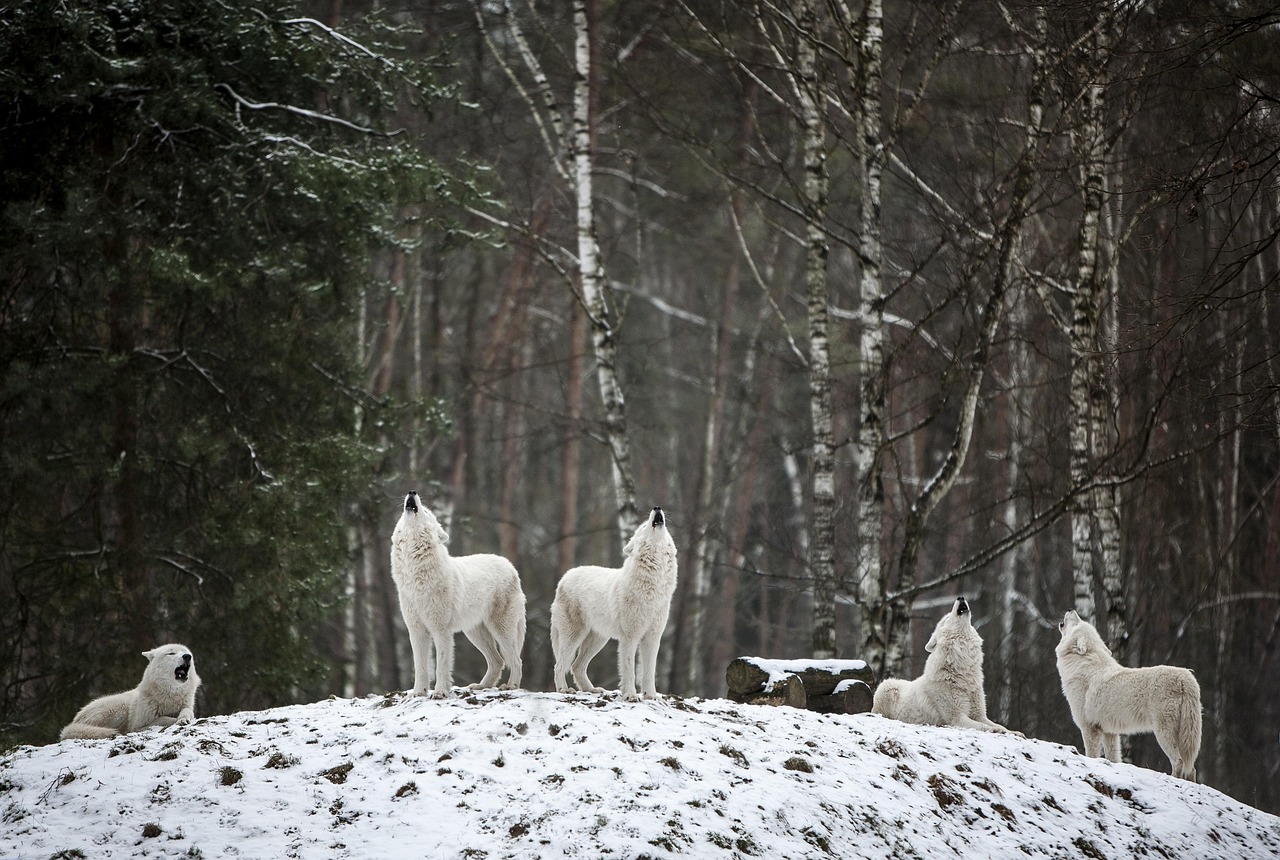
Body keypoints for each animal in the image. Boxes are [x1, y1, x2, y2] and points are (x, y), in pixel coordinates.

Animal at [60, 645, 200, 740]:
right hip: (118, 709)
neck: (170, 696)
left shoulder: (186, 706)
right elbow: (163, 719)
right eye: (171, 653)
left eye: (187, 653)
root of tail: (74, 721)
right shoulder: (137, 726)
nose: (187, 656)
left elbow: (187, 711)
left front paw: (183, 719)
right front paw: (174, 719)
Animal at [390, 491, 526, 698]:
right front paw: (418, 692)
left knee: (516, 660)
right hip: (474, 633)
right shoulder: (416, 630)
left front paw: (440, 692)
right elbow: (420, 666)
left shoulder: (441, 630)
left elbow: (441, 664)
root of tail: (510, 566)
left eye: (427, 512)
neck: (415, 576)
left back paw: (511, 686)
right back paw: (481, 686)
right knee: (498, 661)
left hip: (500, 629)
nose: (412, 492)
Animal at [551, 507, 678, 701]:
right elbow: (629, 670)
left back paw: (592, 690)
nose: (657, 508)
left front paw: (651, 696)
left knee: (576, 666)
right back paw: (564, 690)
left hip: (598, 640)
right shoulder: (629, 637)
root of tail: (565, 577)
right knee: (560, 665)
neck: (653, 587)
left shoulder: (653, 638)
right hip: (574, 636)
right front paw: (631, 695)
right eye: (643, 526)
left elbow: (649, 672)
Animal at [872, 597, 1017, 733]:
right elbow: (984, 726)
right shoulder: (957, 718)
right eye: (947, 618)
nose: (960, 597)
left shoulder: (979, 715)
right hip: (887, 686)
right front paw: (998, 731)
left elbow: (997, 724)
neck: (962, 671)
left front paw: (1014, 732)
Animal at [1056, 610, 1201, 780]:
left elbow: (1091, 755)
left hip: (1163, 732)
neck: (1083, 664)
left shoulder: (1089, 727)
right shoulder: (1109, 732)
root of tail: (1186, 678)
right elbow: (1113, 758)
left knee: (1178, 762)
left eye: (1077, 622)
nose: (1071, 610)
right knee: (1191, 768)